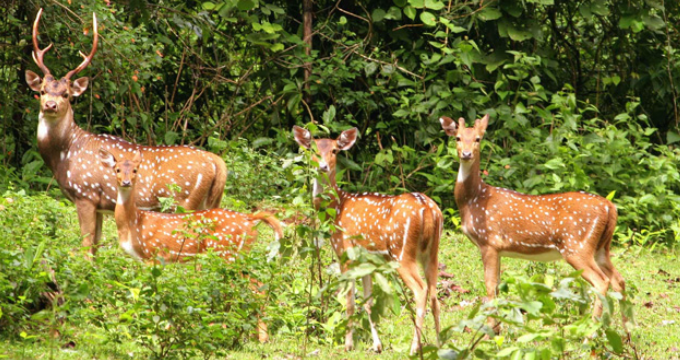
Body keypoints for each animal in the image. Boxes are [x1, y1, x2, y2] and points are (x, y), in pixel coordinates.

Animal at [25, 8, 227, 256]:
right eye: (43, 90)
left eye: (66, 94)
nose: (50, 106)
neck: (65, 154)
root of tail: (217, 163)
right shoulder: (100, 206)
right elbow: (95, 247)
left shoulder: (85, 194)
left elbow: (85, 247)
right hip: (210, 202)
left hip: (184, 201)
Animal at [100, 149, 282, 344]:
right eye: (117, 169)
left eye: (135, 170)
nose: (126, 182)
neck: (134, 223)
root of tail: (250, 219)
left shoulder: (152, 253)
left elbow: (150, 291)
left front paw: (151, 328)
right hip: (238, 256)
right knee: (256, 285)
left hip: (227, 254)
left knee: (248, 288)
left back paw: (253, 336)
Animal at [294, 126, 444, 354]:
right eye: (313, 148)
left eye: (335, 150)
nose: (323, 166)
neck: (336, 209)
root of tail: (428, 208)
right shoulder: (366, 261)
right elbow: (368, 302)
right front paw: (377, 345)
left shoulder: (345, 252)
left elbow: (349, 301)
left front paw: (348, 344)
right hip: (432, 252)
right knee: (435, 293)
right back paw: (440, 343)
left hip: (402, 252)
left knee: (421, 290)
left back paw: (414, 348)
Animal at [440, 114, 628, 328]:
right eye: (458, 138)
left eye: (478, 139)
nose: (466, 153)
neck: (473, 200)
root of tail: (610, 207)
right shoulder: (498, 249)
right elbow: (497, 285)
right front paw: (497, 327)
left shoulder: (489, 242)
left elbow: (489, 285)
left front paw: (489, 327)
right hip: (601, 247)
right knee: (619, 280)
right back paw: (625, 330)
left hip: (577, 246)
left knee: (601, 282)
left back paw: (593, 329)